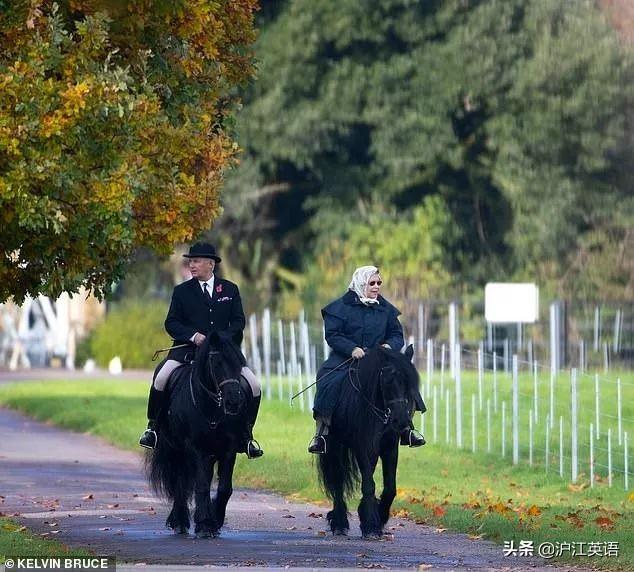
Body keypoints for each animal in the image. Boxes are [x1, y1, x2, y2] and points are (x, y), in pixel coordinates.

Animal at [144, 330, 251, 536]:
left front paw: (215, 520)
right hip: (176, 449)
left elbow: (224, 488)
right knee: (180, 482)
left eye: (239, 363)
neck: (212, 408)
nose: (234, 401)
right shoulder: (195, 448)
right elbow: (200, 486)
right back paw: (180, 521)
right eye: (216, 363)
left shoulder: (228, 450)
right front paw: (205, 525)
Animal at [314, 346, 420, 540]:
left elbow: (390, 487)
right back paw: (339, 523)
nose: (401, 421)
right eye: (387, 381)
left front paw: (380, 517)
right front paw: (371, 525)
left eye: (409, 382)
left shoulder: (389, 447)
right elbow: (369, 485)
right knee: (337, 480)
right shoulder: (362, 447)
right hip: (335, 447)